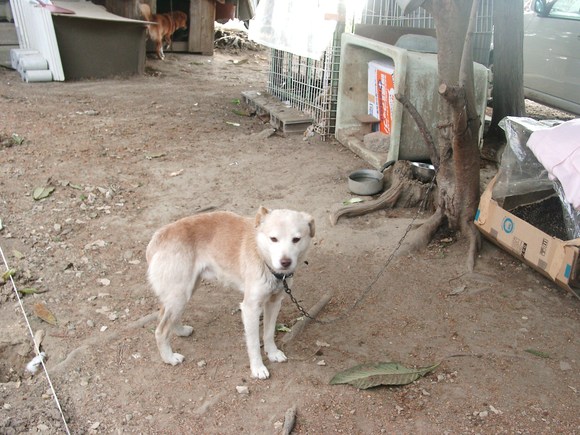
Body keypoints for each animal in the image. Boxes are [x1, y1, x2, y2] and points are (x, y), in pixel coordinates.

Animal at [147, 207, 314, 378]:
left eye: (296, 239)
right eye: (273, 239)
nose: (285, 262)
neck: (261, 255)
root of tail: (160, 235)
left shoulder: (274, 302)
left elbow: (268, 333)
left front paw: (272, 353)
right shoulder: (250, 308)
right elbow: (254, 343)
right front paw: (257, 368)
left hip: (186, 291)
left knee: (164, 315)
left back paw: (181, 331)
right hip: (180, 294)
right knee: (160, 330)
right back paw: (169, 358)